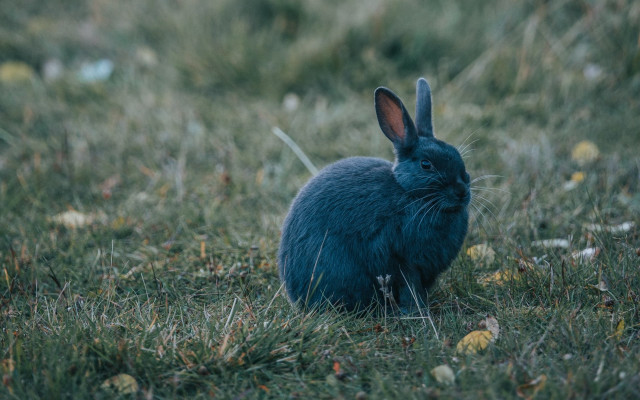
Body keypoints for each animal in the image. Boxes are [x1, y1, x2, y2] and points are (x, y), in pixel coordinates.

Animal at [278, 78, 470, 312]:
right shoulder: (402, 260)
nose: (462, 191)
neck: (409, 194)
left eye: (458, 156)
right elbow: (409, 288)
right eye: (426, 165)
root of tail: (294, 293)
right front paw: (415, 311)